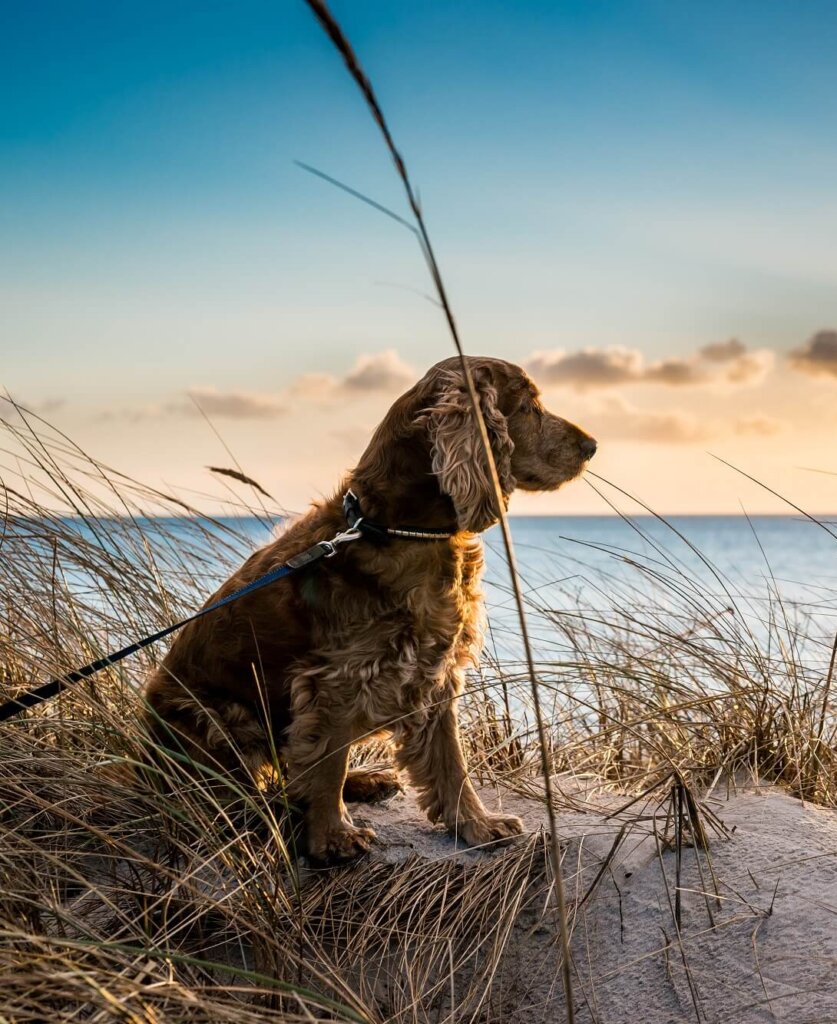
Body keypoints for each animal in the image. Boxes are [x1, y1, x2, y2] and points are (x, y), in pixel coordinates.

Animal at [145, 356, 602, 860]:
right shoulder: (336, 680)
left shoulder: (435, 669)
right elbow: (327, 764)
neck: (396, 528)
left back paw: (366, 781)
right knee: (254, 792)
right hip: (223, 718)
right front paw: (333, 837)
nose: (592, 446)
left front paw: (477, 824)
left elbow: (451, 762)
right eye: (526, 406)